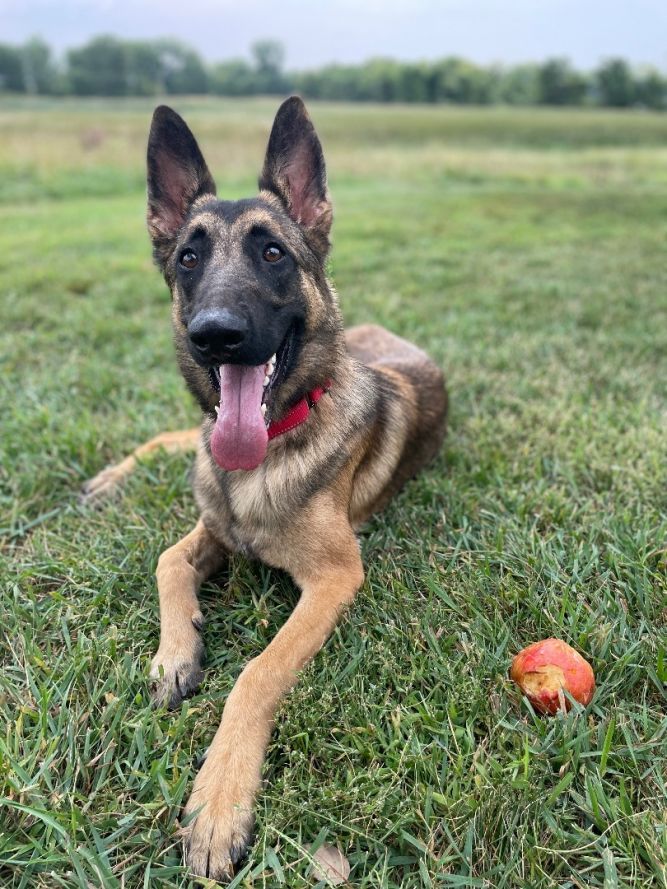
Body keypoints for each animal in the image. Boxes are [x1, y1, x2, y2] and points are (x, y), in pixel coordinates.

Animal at [85, 99, 448, 880]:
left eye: (273, 252)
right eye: (188, 258)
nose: (214, 335)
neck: (270, 447)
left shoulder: (336, 577)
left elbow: (256, 672)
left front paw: (219, 802)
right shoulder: (211, 527)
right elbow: (166, 559)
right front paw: (175, 651)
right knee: (175, 437)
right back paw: (110, 476)